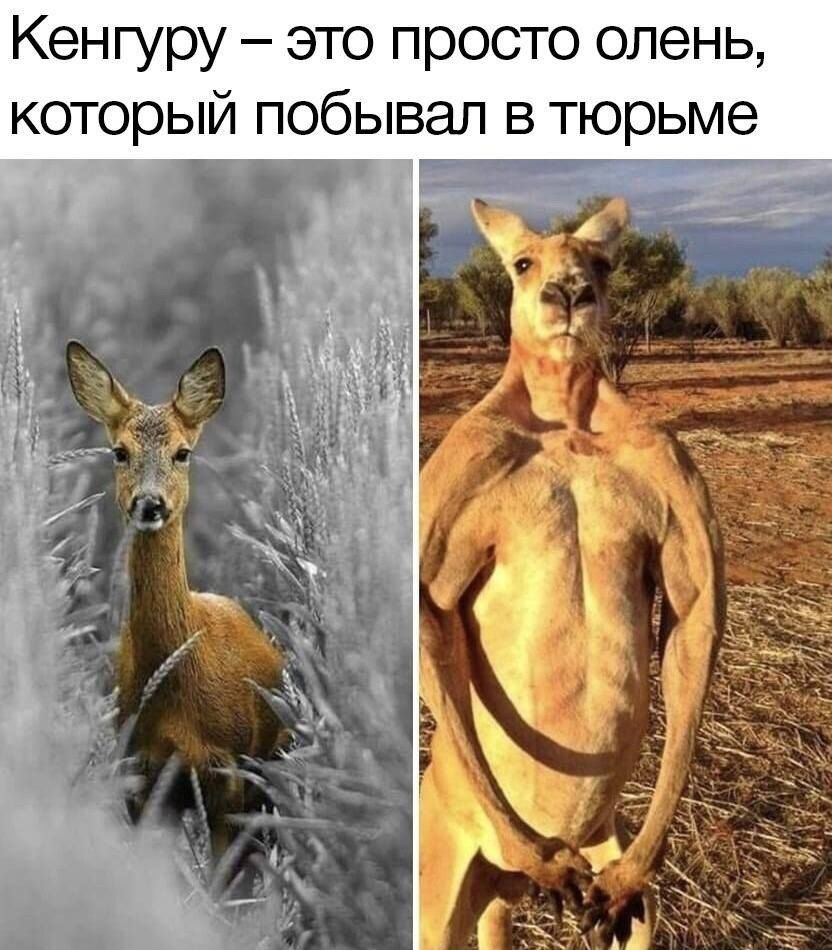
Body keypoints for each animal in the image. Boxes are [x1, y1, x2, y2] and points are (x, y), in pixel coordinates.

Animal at [420, 198, 726, 949]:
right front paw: (541, 857)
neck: (565, 416)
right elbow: (431, 613)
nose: (568, 294)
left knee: (629, 909)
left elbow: (692, 616)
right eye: (523, 263)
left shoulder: (670, 467)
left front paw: (630, 871)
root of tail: (505, 883)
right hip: (441, 879)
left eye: (603, 263)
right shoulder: (459, 466)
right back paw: (539, 860)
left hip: (613, 868)